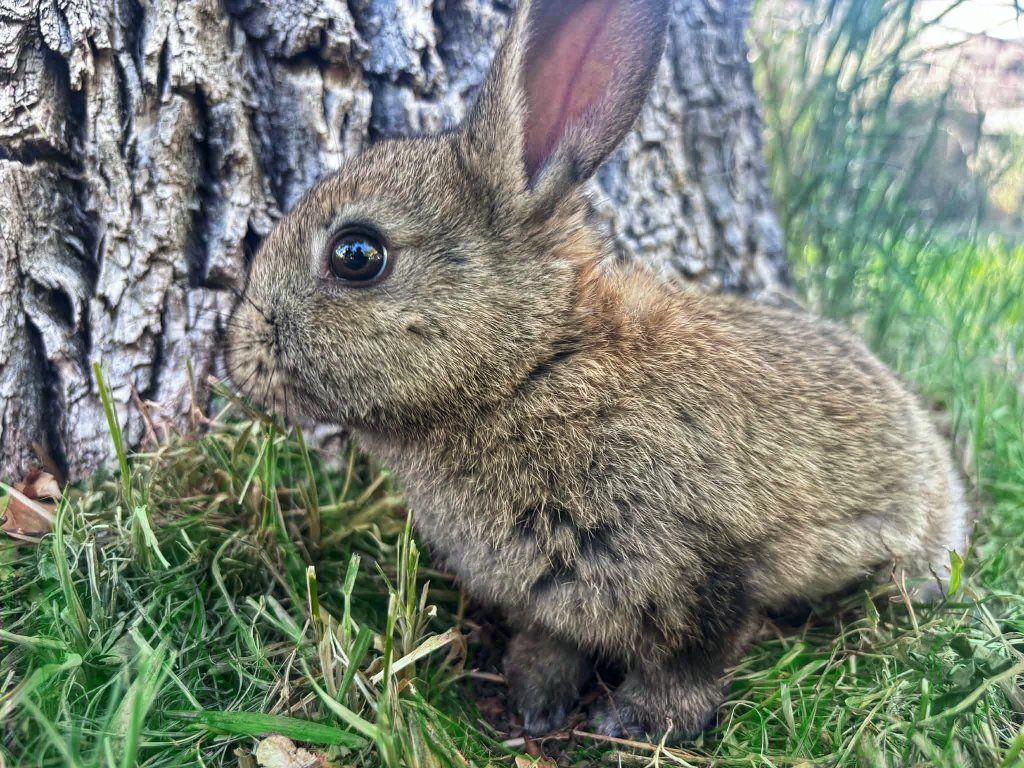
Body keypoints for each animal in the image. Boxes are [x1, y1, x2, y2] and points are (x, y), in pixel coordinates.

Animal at [225, 0, 969, 740]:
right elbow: (555, 640)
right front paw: (536, 699)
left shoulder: (703, 564)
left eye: (357, 254)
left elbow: (696, 655)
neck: (531, 367)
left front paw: (636, 720)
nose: (240, 353)